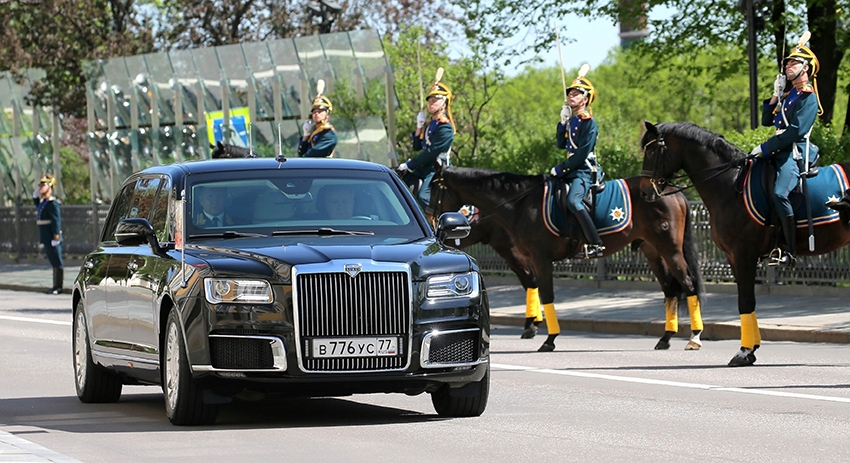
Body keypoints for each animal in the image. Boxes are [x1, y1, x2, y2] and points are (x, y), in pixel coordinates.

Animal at [431, 164, 706, 352]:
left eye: (434, 188)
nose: (433, 219)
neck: (522, 203)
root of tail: (673, 192)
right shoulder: (531, 257)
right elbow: (540, 291)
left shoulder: (540, 259)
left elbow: (547, 295)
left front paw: (549, 339)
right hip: (652, 251)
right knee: (670, 289)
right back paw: (666, 338)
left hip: (669, 249)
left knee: (687, 284)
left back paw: (694, 336)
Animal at [639, 121, 850, 366]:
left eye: (651, 151)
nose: (644, 191)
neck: (730, 185)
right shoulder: (733, 258)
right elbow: (747, 302)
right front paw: (751, 350)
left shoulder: (744, 254)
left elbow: (745, 301)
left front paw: (743, 351)